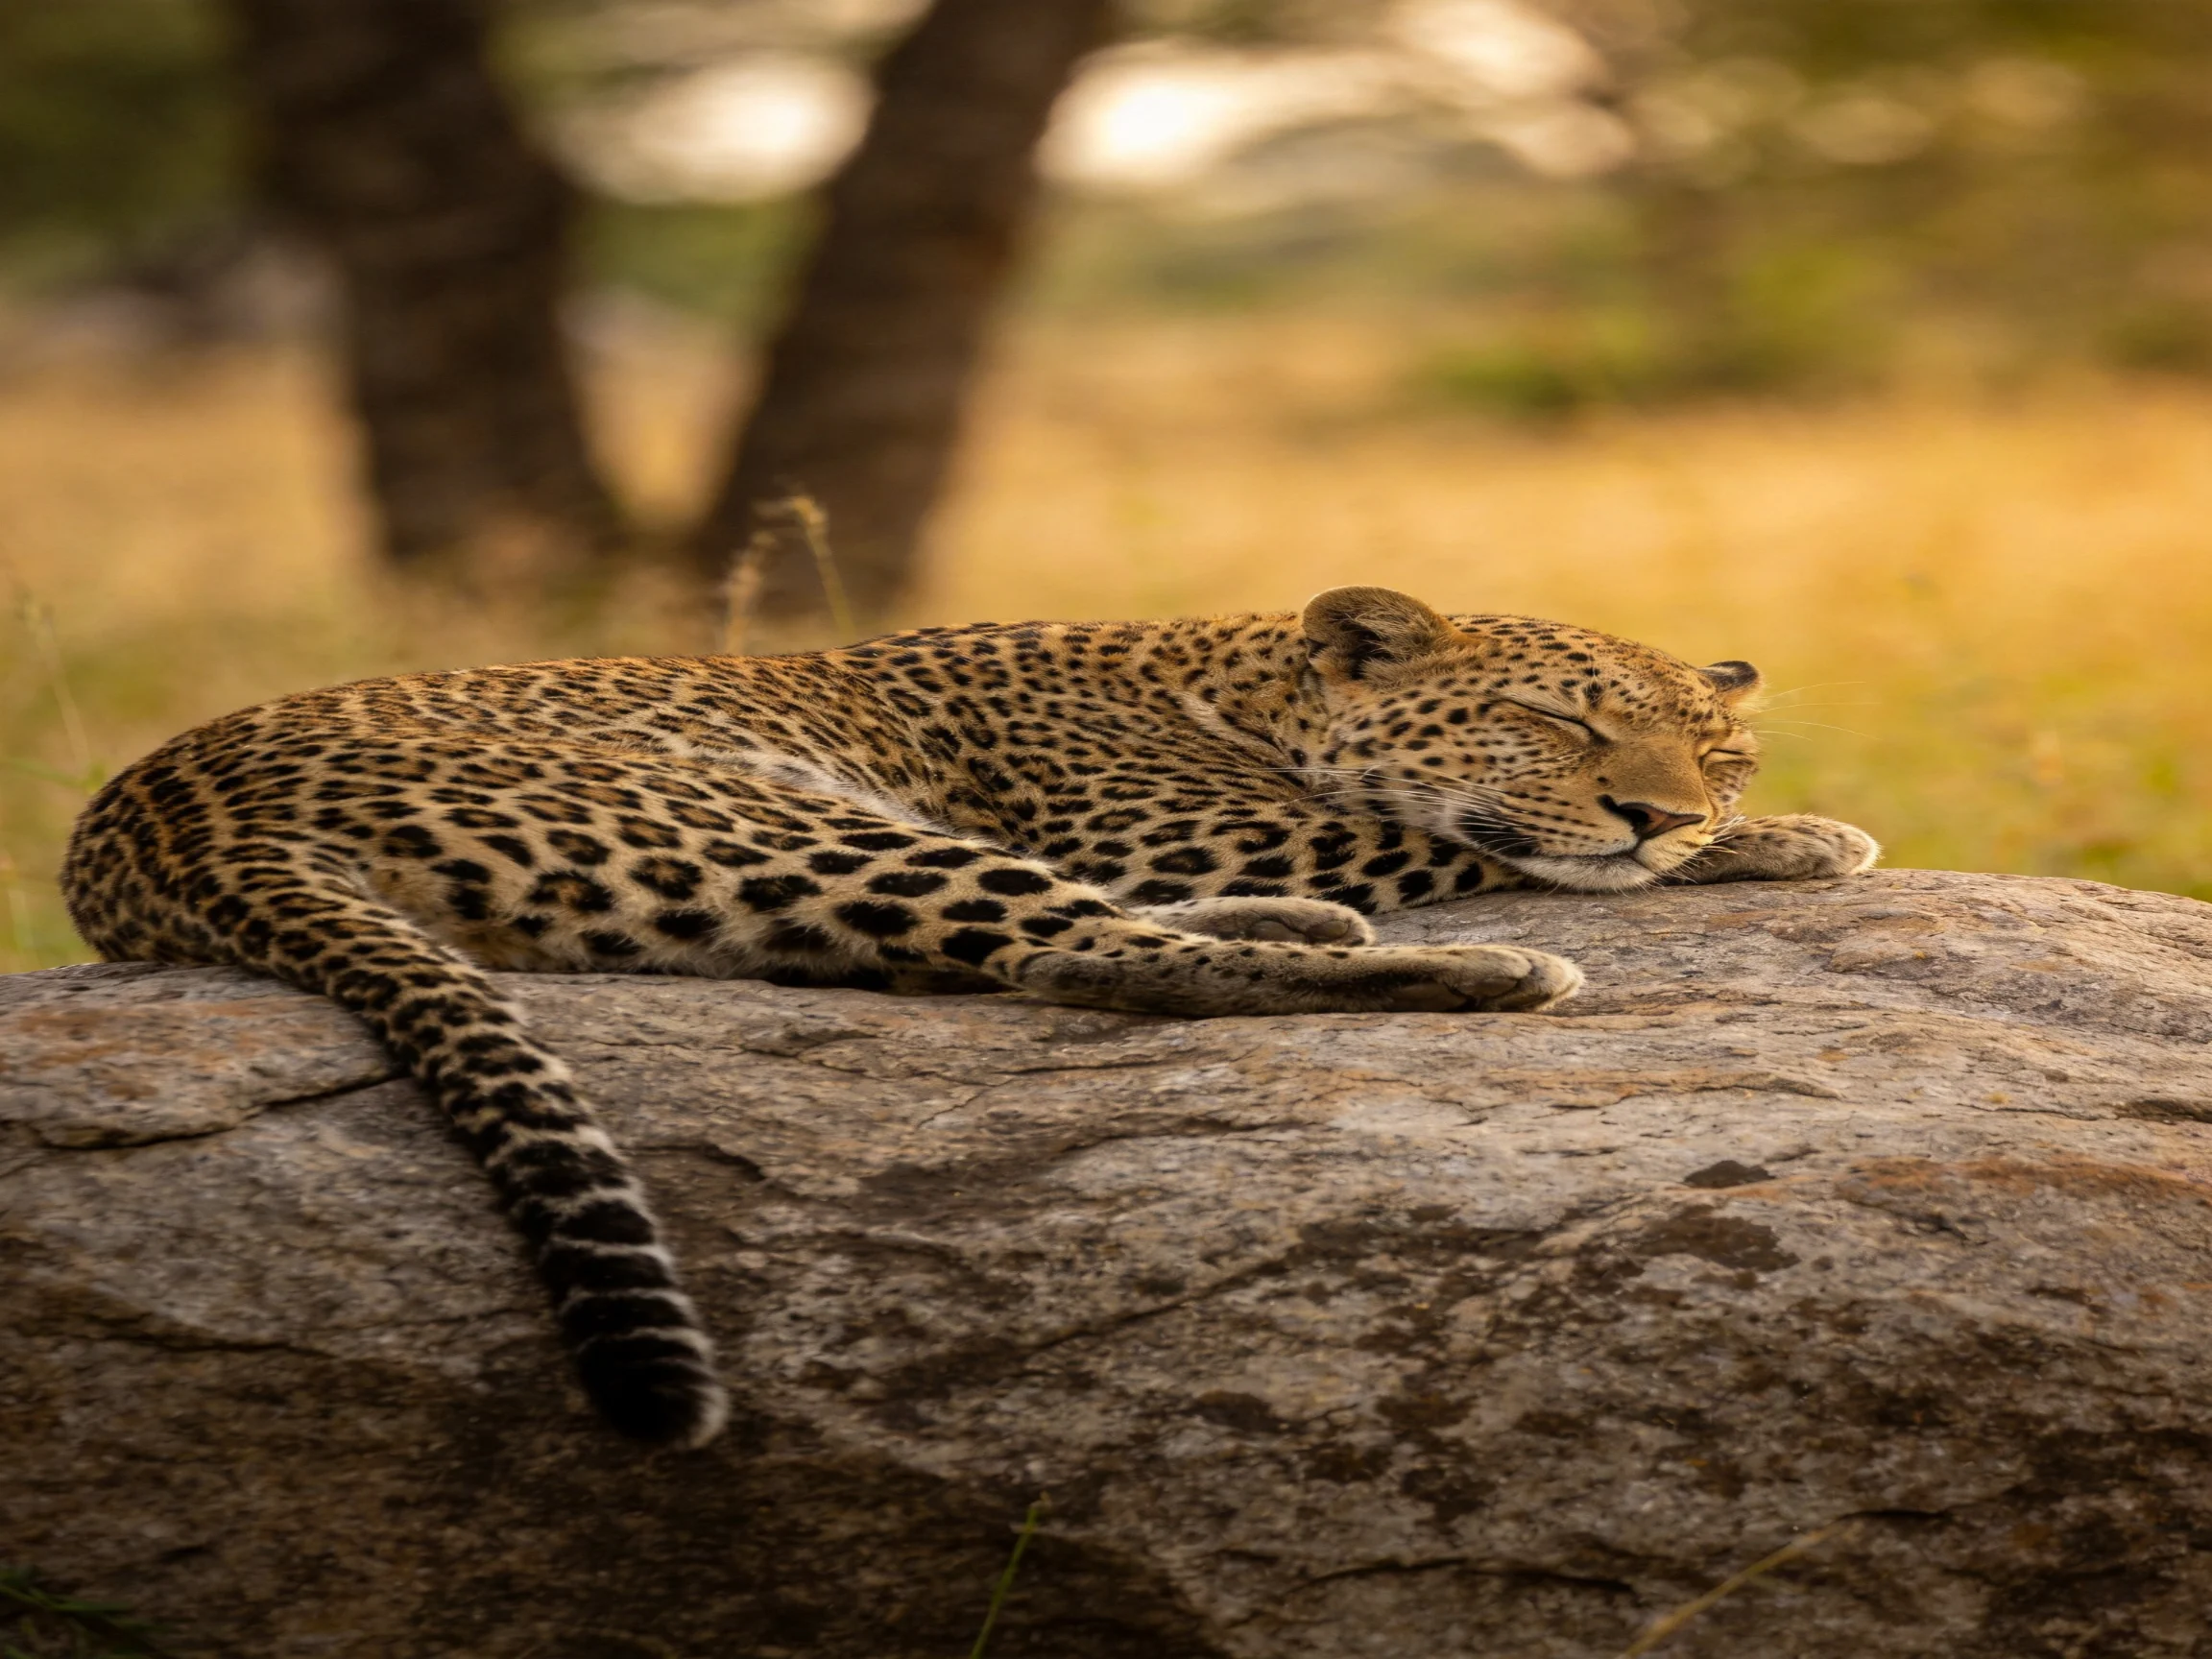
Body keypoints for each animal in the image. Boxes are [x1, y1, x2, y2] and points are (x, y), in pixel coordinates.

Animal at [61, 584, 1877, 1450]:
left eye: (1711, 747)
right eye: (1555, 723)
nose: (1668, 810)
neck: (1233, 674)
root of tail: (160, 818)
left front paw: (1752, 834)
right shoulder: (1162, 825)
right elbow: (1437, 834)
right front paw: (1787, 842)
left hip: (743, 876)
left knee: (1022, 951)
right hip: (755, 813)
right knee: (1082, 960)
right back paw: (1473, 972)